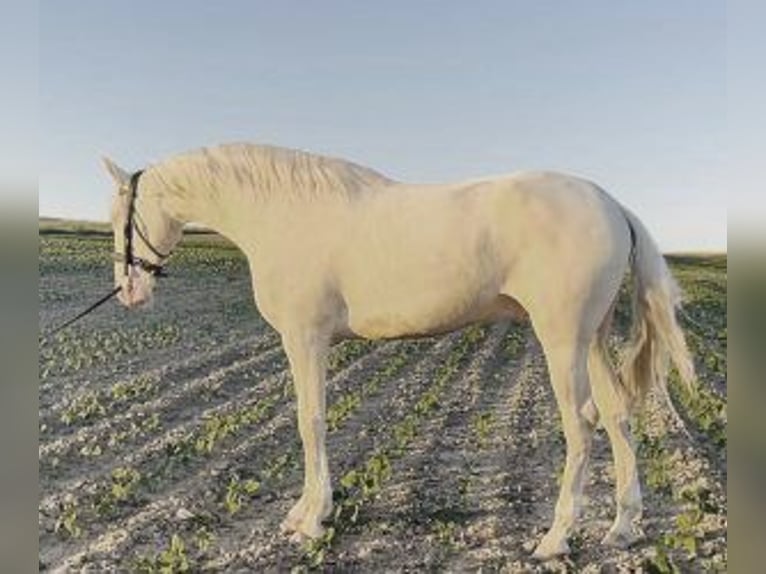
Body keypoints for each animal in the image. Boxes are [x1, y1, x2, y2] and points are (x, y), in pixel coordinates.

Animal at [102, 143, 696, 564]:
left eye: (119, 218)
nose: (129, 292)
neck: (284, 214)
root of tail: (610, 203)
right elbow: (313, 423)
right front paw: (305, 512)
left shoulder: (305, 339)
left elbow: (310, 422)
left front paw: (310, 519)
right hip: (592, 338)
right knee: (617, 416)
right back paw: (623, 526)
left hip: (562, 340)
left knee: (582, 425)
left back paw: (555, 539)